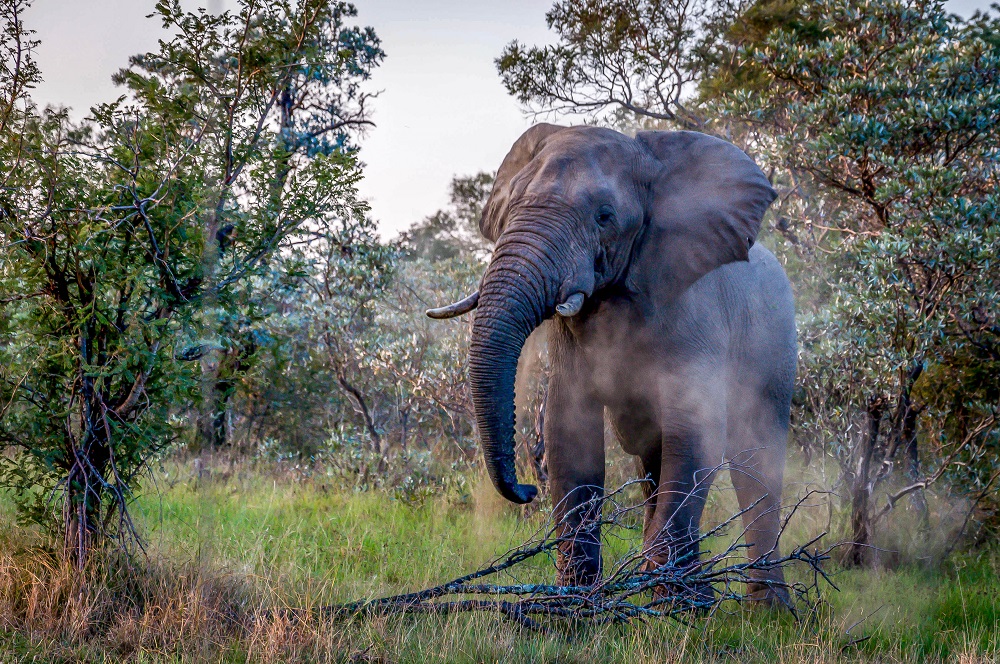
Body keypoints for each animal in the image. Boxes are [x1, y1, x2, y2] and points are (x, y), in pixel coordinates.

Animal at [430, 123, 796, 600]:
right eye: (510, 206)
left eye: (604, 216)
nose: (525, 490)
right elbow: (570, 435)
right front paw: (577, 603)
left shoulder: (696, 315)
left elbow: (694, 433)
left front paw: (669, 607)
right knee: (653, 463)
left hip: (776, 346)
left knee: (756, 464)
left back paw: (764, 608)